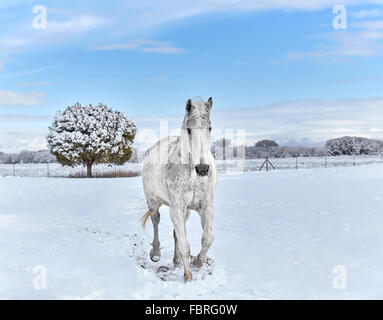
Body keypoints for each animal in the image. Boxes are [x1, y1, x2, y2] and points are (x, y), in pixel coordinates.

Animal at [142, 96, 219, 282]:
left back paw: (176, 261)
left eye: (209, 128)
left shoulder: (206, 207)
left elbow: (208, 238)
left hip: (186, 211)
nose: (202, 169)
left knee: (177, 232)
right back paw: (156, 254)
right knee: (155, 220)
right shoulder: (176, 207)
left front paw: (197, 262)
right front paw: (187, 275)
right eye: (189, 130)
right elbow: (185, 244)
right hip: (152, 200)